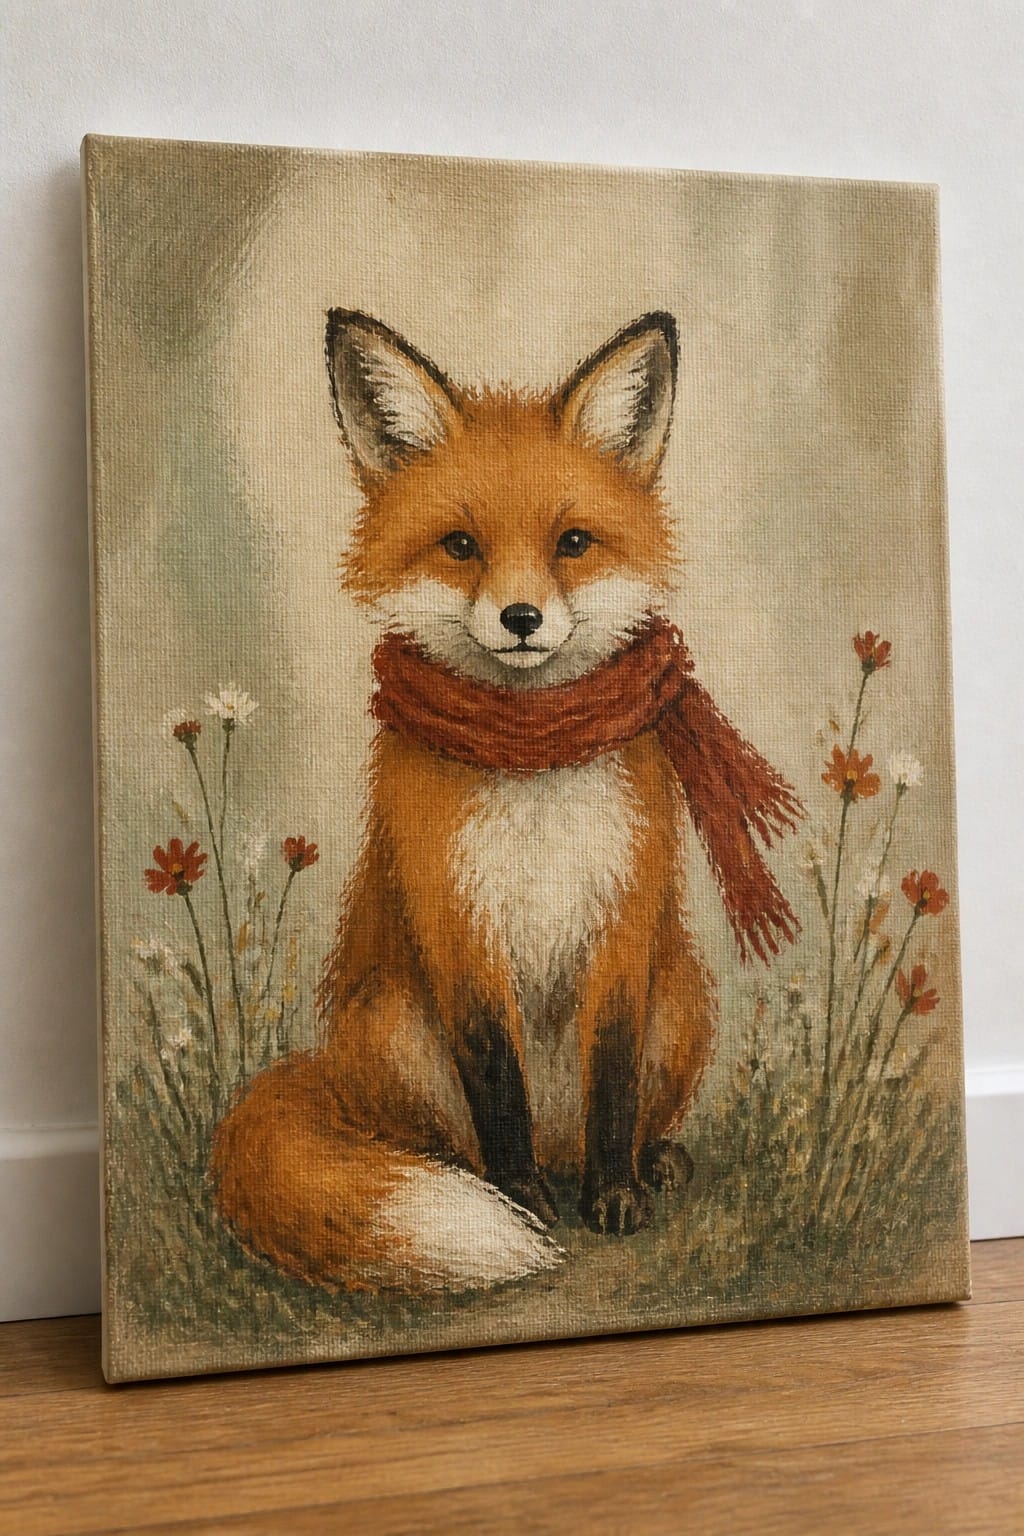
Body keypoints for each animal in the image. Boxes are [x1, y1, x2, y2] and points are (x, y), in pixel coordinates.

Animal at [211, 309, 747, 1294]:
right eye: (461, 546)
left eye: (572, 542)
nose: (522, 619)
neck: (531, 758)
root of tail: (328, 1072)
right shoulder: (455, 919)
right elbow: (497, 1082)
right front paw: (521, 1203)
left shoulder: (624, 915)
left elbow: (614, 1081)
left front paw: (614, 1196)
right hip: (390, 1025)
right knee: (433, 1141)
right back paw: (483, 1179)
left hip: (683, 996)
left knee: (622, 1117)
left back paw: (647, 1162)